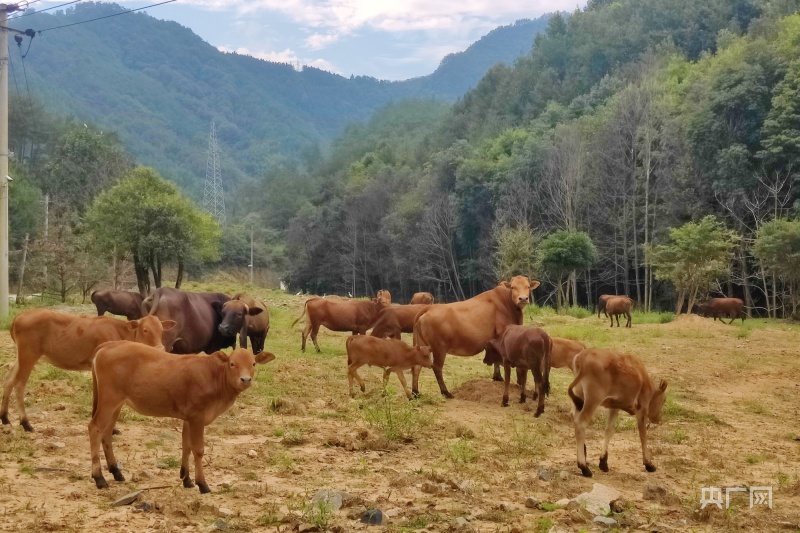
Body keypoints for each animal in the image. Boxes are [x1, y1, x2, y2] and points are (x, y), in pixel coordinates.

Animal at [0, 312, 176, 432]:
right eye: (145, 330)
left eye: (161, 330)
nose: (160, 348)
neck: (121, 332)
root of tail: (21, 315)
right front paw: (110, 429)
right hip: (29, 356)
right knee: (19, 385)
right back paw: (26, 423)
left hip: (20, 357)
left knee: (8, 380)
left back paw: (5, 418)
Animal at [91, 342, 276, 492]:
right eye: (232, 363)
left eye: (253, 363)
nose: (245, 379)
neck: (214, 377)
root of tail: (109, 345)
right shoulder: (197, 417)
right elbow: (198, 450)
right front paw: (202, 484)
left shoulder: (188, 418)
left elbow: (186, 446)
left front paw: (187, 479)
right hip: (109, 400)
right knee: (95, 428)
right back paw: (99, 478)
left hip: (116, 405)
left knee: (106, 432)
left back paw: (116, 471)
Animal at [568, 348, 668, 476]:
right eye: (664, 400)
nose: (658, 419)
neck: (643, 378)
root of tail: (583, 355)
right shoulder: (642, 409)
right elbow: (643, 436)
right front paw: (649, 464)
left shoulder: (614, 406)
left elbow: (609, 430)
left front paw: (603, 462)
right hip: (593, 400)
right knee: (581, 422)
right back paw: (584, 467)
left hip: (580, 397)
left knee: (574, 417)